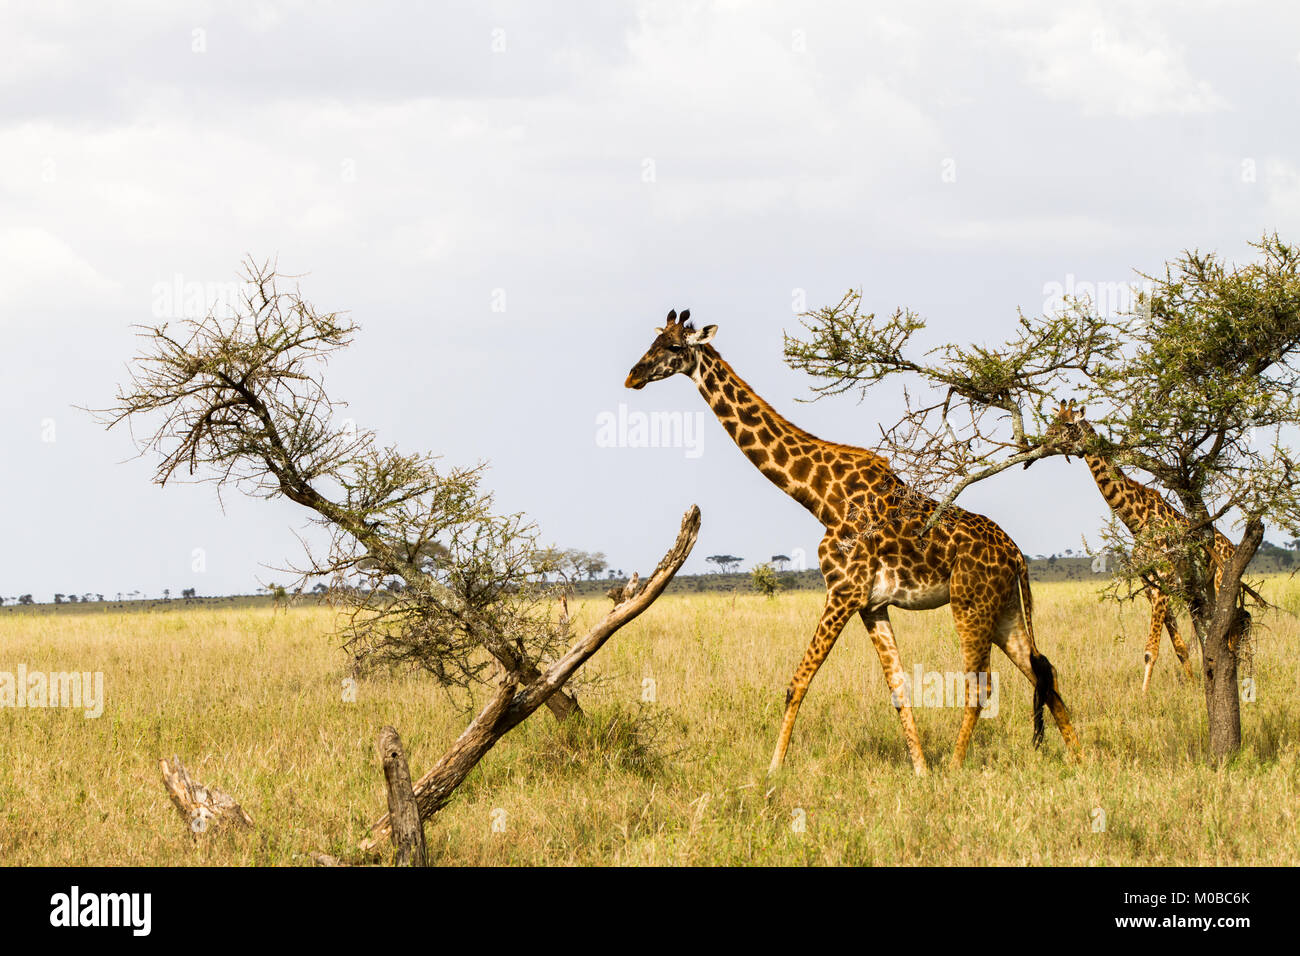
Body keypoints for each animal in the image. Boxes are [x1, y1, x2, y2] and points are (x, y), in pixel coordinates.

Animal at [624, 310, 1081, 775]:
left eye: (674, 347)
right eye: (652, 342)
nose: (632, 376)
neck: (822, 497)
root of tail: (1017, 554)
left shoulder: (842, 591)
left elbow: (798, 681)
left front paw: (773, 769)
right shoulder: (871, 604)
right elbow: (898, 688)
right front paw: (920, 770)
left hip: (970, 604)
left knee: (980, 686)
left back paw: (956, 767)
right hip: (1004, 609)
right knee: (1044, 671)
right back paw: (1080, 760)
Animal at [1040, 400, 1242, 691]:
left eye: (1068, 424)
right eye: (1051, 421)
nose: (1044, 440)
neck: (1137, 520)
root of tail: (1232, 548)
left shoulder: (1163, 581)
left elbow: (1151, 650)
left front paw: (1144, 695)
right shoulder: (1150, 586)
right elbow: (1180, 647)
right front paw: (1192, 685)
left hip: (1221, 585)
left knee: (1231, 638)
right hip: (1199, 593)